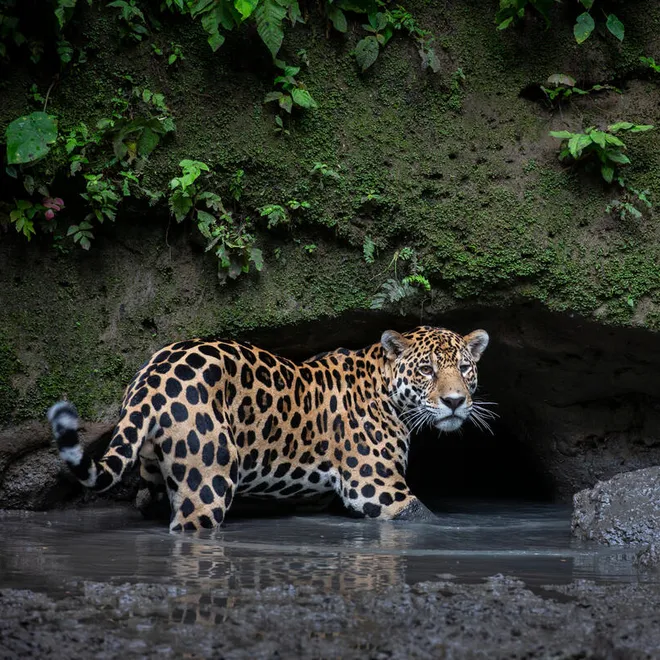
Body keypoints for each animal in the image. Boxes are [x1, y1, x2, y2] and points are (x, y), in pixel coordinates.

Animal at [48, 325, 490, 532]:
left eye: (464, 368)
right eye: (426, 370)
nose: (455, 401)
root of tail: (153, 372)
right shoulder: (379, 490)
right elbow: (427, 520)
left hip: (155, 469)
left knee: (148, 497)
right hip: (208, 481)